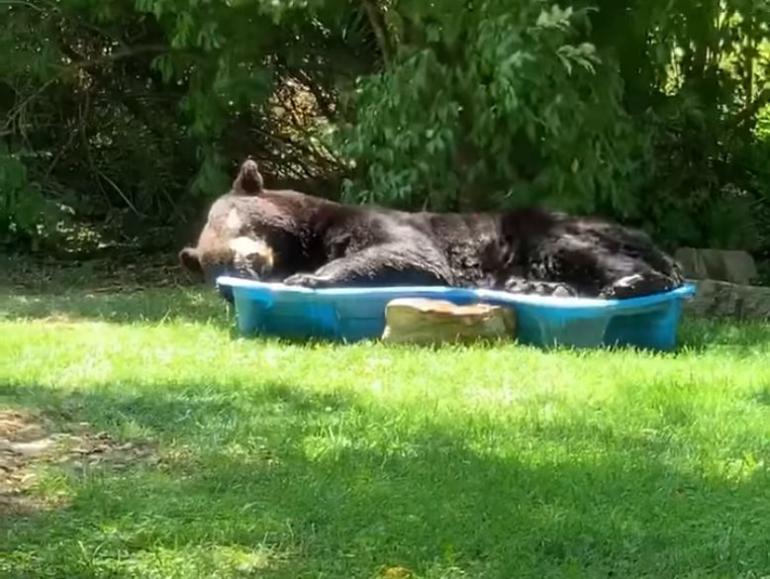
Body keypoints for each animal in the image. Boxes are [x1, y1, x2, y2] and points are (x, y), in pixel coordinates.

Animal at [180, 161, 684, 302]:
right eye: (212, 267)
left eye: (233, 224)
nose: (243, 269)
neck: (305, 236)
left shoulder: (373, 224)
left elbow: (403, 254)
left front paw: (311, 277)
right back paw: (541, 288)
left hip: (548, 227)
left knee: (575, 249)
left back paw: (631, 282)